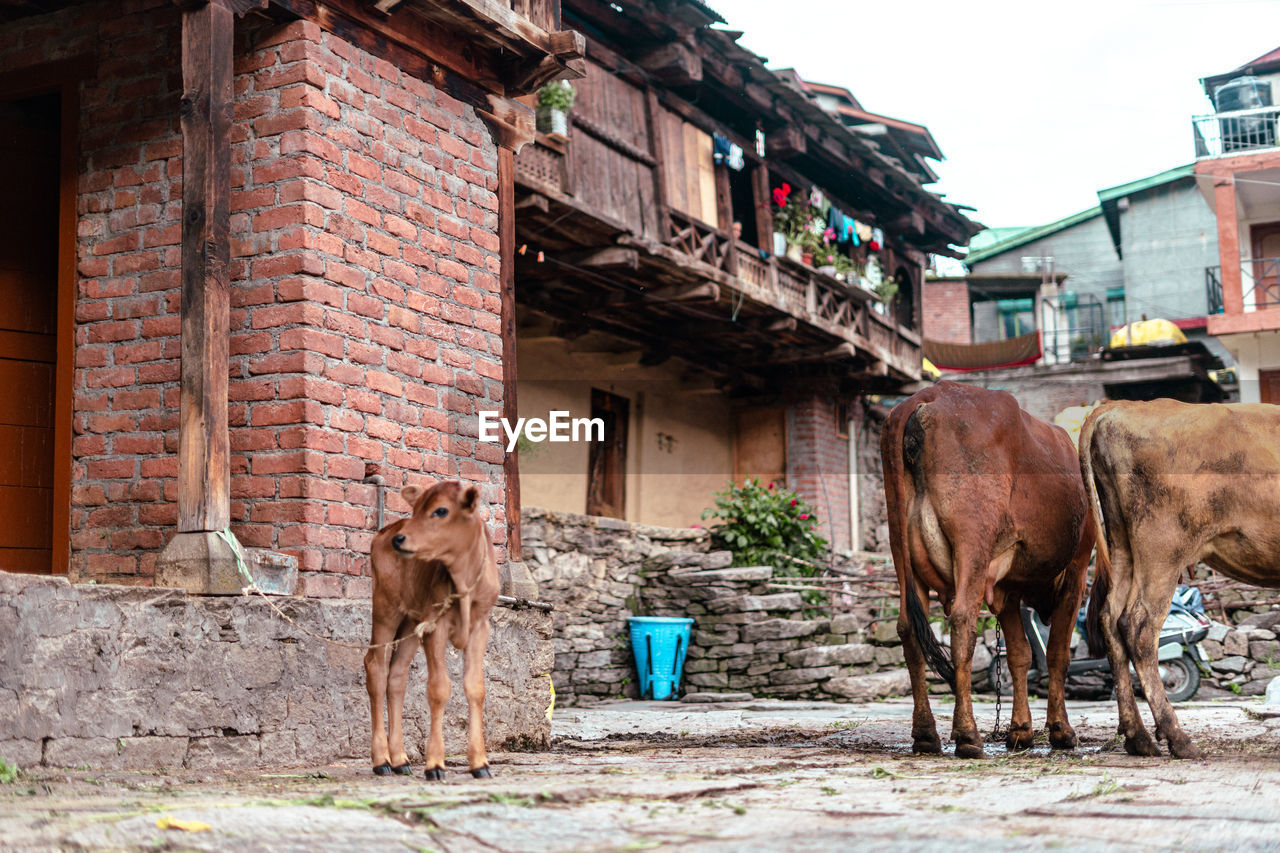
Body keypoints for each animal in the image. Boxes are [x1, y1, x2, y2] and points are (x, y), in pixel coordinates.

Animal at [366, 479, 499, 778]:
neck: (463, 581)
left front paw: (480, 763)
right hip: (385, 608)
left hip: (410, 621)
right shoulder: (435, 627)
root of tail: (385, 530)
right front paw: (435, 763)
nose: (400, 539)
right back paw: (382, 761)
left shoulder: (480, 627)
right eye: (415, 508)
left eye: (441, 510)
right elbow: (439, 689)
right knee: (376, 668)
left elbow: (476, 687)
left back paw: (400, 759)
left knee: (397, 675)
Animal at [885, 381, 1095, 753]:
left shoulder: (1006, 587)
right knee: (962, 623)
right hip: (974, 541)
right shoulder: (1077, 570)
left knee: (909, 630)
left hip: (902, 554)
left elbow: (1019, 655)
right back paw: (967, 735)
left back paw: (926, 734)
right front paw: (1061, 730)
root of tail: (928, 396)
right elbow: (1056, 653)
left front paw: (1020, 730)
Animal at [1080, 399, 1280, 758]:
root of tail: (1118, 406)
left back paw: (1139, 739)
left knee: (1110, 619)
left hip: (1123, 546)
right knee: (1138, 626)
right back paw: (1178, 738)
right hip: (1162, 551)